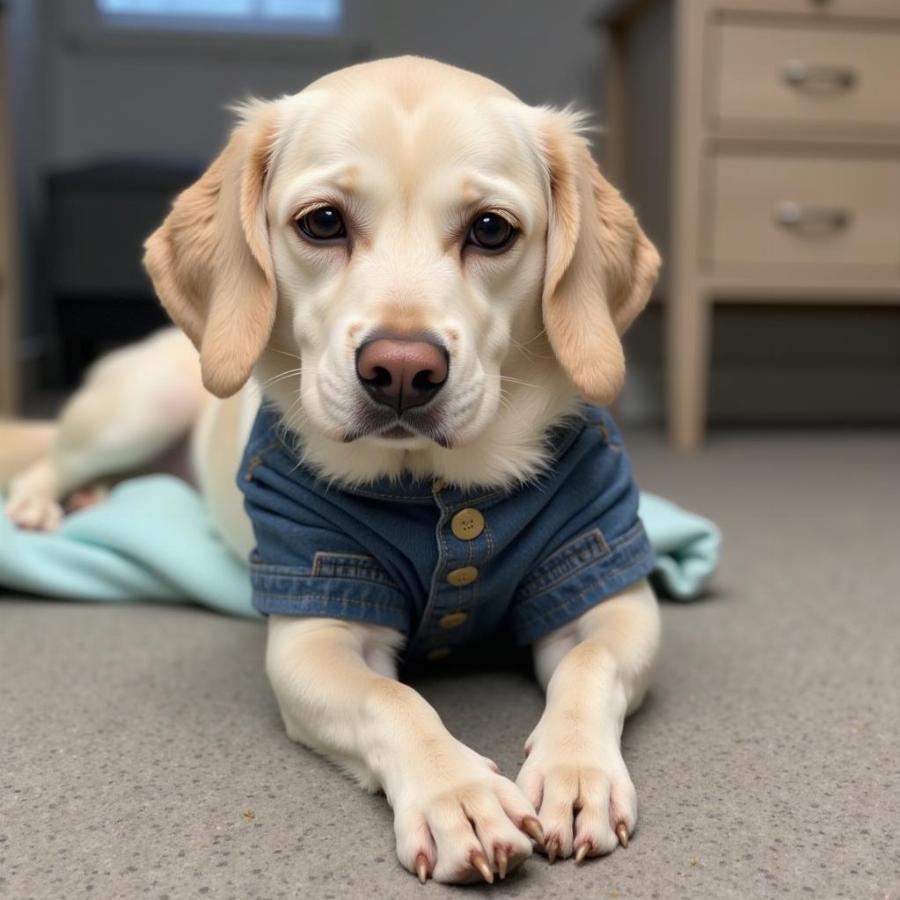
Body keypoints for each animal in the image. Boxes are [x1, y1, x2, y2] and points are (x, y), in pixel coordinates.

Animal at [0, 56, 660, 884]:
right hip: (134, 408)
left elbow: (590, 668)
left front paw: (577, 774)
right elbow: (395, 703)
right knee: (49, 460)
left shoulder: (603, 584)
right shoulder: (315, 628)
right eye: (322, 222)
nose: (403, 371)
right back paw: (44, 505)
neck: (437, 489)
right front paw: (458, 794)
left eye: (490, 230)